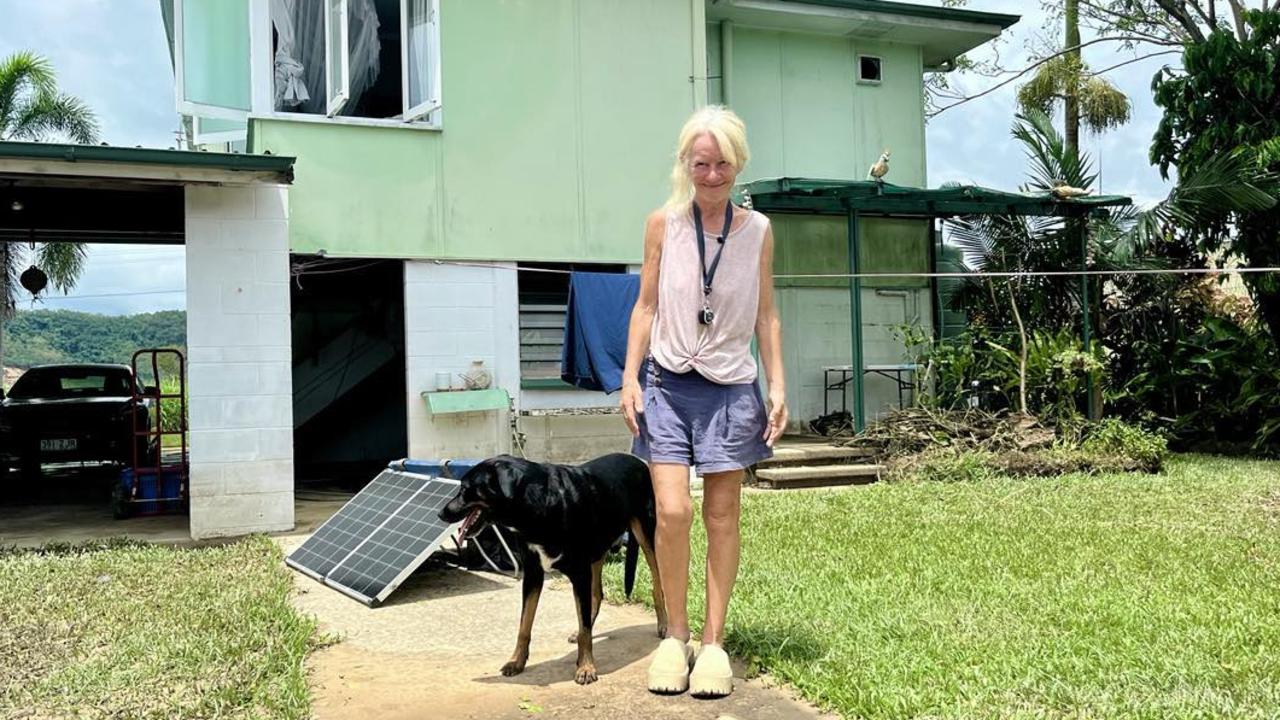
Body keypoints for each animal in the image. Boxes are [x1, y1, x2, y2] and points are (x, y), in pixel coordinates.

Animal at [437, 450, 665, 681]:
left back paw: (663, 625)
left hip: (647, 536)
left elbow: (584, 628)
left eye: (466, 489)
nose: (440, 513)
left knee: (657, 585)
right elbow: (524, 625)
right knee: (596, 596)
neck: (539, 505)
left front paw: (586, 667)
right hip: (598, 549)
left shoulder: (579, 573)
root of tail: (637, 460)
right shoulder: (533, 575)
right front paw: (516, 662)